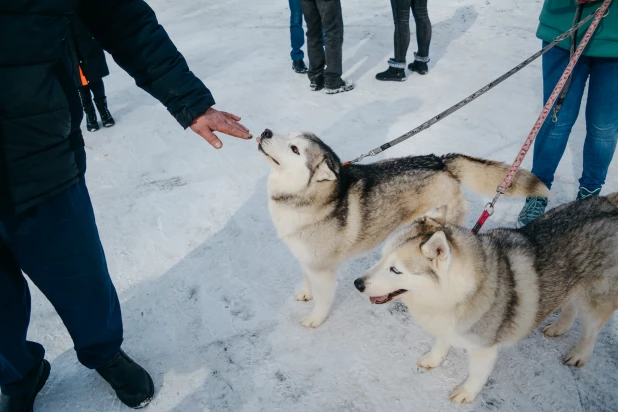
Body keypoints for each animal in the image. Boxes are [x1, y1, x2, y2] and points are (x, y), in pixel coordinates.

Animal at [258, 129, 548, 328]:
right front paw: (306, 292)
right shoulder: (307, 257)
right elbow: (306, 277)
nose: (266, 131)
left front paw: (315, 319)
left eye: (294, 149)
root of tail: (440, 161)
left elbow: (322, 298)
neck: (305, 196)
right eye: (288, 134)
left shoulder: (323, 268)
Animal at [354, 195, 616, 404]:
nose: (357, 284)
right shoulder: (446, 325)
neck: (458, 294)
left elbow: (477, 374)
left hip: (594, 300)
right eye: (381, 257)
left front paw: (467, 393)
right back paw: (559, 327)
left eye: (395, 270)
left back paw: (580, 353)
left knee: (591, 330)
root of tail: (610, 205)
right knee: (570, 305)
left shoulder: (484, 348)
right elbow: (441, 342)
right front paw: (434, 358)